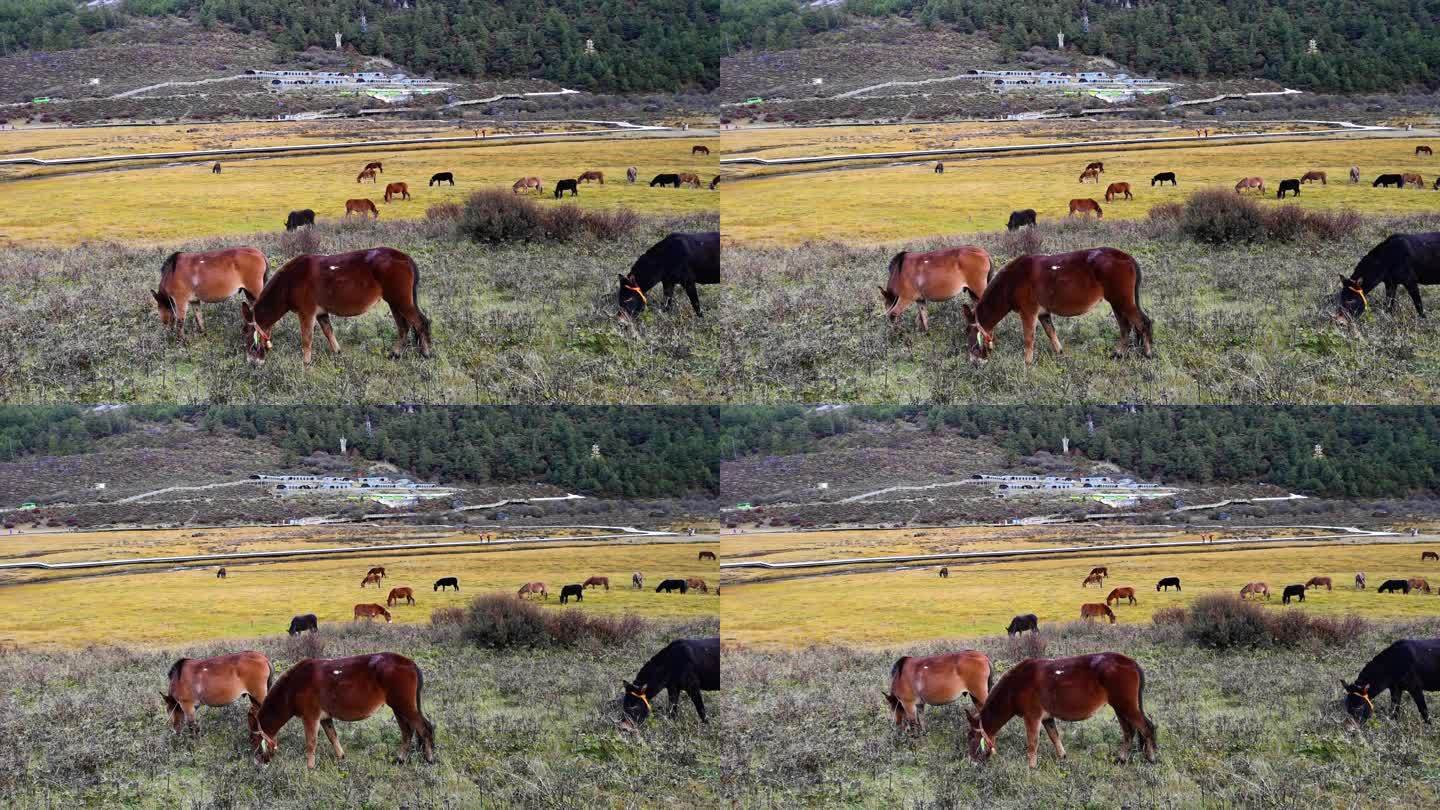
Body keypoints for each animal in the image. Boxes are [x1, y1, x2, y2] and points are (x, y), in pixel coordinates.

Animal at [239, 242, 429, 363]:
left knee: (421, 322)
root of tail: (406, 258)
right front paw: (337, 352)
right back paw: (395, 354)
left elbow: (307, 338)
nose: (252, 363)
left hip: (401, 301)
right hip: (394, 303)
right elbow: (328, 331)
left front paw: (306, 364)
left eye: (247, 336)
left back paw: (426, 353)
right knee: (403, 327)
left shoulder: (307, 313)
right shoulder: (321, 313)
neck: (289, 282)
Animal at [247, 645, 432, 766]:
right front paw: (341, 757)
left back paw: (429, 758)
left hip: (405, 705)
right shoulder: (325, 718)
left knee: (424, 728)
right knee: (407, 731)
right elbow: (333, 737)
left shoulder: (310, 717)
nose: (257, 762)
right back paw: (400, 758)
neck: (293, 686)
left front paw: (309, 767)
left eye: (253, 740)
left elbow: (311, 742)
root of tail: (410, 663)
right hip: (398, 708)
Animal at [961, 242, 1152, 363]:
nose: (973, 362)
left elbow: (1029, 338)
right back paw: (1119, 353)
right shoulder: (1043, 313)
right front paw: (1059, 353)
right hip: (1117, 303)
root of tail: (1127, 258)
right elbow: (1050, 332)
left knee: (1143, 323)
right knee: (1125, 327)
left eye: (968, 332)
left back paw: (1148, 353)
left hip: (1123, 301)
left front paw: (1027, 363)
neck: (1011, 281)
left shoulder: (1028, 312)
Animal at [967, 648, 1157, 760]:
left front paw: (1031, 768)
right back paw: (1122, 758)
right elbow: (1054, 736)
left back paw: (1151, 757)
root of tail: (1132, 663)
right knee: (1129, 732)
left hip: (1127, 706)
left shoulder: (1032, 717)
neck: (1016, 685)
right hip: (1120, 708)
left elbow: (1032, 743)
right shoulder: (1046, 718)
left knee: (1147, 728)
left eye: (971, 737)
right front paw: (1062, 757)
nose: (972, 760)